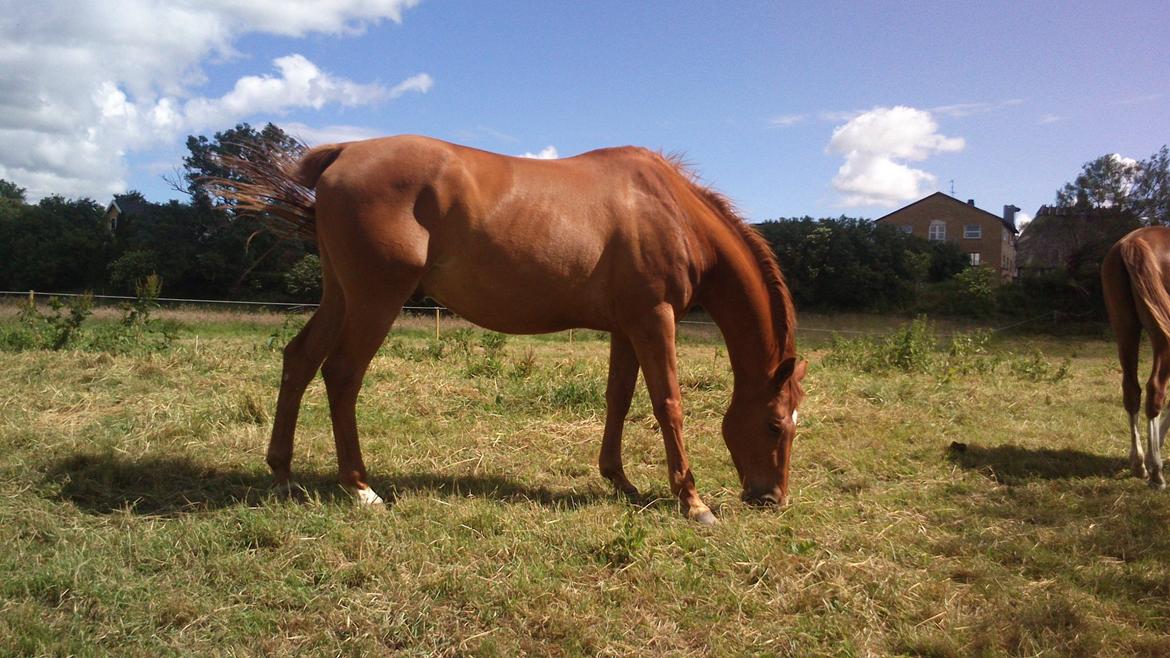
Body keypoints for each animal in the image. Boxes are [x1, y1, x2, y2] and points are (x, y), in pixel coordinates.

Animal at [215, 134, 804, 522]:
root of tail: (345, 152)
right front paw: (693, 501)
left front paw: (619, 480)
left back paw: (282, 474)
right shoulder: (655, 320)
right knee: (341, 374)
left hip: (341, 295)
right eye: (776, 425)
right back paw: (360, 487)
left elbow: (618, 399)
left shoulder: (626, 327)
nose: (771, 498)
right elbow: (668, 404)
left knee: (299, 359)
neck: (672, 211)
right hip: (374, 300)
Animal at [1099, 224, 1170, 487]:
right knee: (1155, 390)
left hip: (1125, 328)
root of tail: (1133, 241)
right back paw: (1156, 470)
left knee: (1131, 390)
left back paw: (1139, 463)